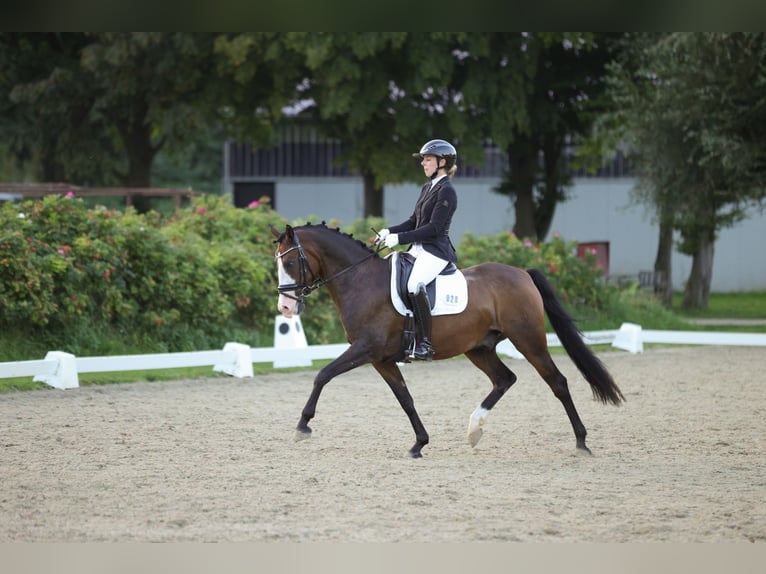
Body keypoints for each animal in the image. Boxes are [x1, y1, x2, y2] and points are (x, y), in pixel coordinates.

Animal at [270, 223, 624, 462]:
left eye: (290, 263)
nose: (285, 308)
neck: (361, 281)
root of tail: (521, 273)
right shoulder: (381, 359)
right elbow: (405, 399)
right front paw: (419, 443)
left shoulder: (365, 349)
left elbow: (322, 375)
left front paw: (302, 426)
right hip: (479, 348)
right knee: (505, 379)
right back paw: (474, 430)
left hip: (528, 340)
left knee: (558, 383)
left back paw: (581, 442)